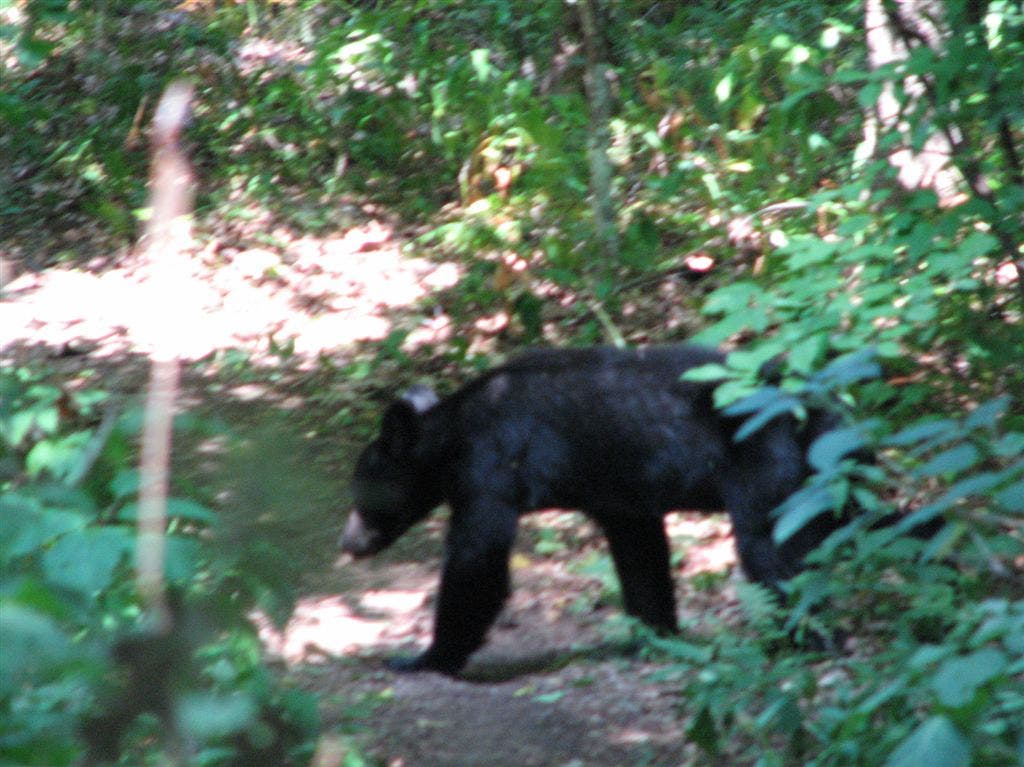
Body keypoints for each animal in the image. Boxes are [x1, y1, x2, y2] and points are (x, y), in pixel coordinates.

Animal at [340, 344, 847, 674]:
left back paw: (804, 641)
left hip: (763, 460)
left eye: (360, 489)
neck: (449, 437)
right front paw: (652, 635)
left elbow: (477, 557)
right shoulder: (619, 495)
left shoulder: (489, 467)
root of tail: (814, 400)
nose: (348, 543)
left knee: (773, 548)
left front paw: (423, 657)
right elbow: (640, 555)